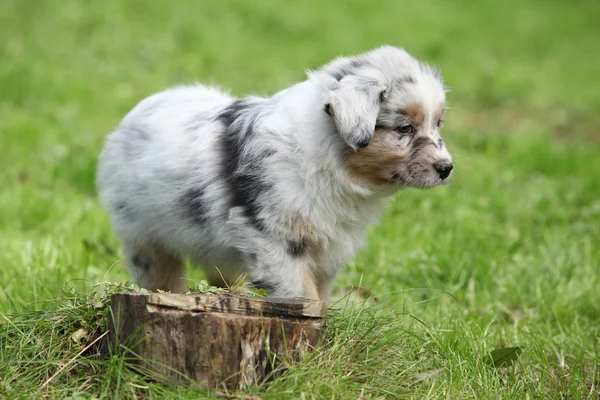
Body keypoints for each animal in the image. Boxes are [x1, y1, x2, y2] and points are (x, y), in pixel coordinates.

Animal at [96, 44, 452, 300]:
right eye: (404, 129)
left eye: (438, 123)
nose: (447, 169)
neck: (328, 157)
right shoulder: (277, 241)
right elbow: (302, 297)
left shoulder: (328, 250)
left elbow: (320, 302)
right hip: (145, 238)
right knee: (161, 277)